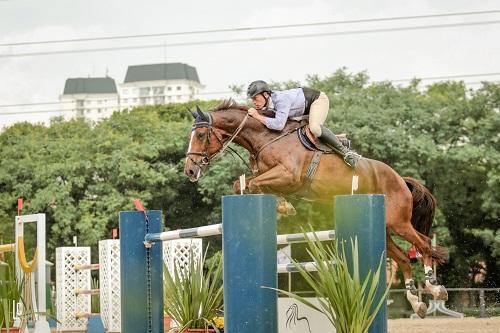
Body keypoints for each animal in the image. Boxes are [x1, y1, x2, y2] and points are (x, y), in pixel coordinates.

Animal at [185, 99, 450, 316]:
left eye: (201, 135)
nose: (190, 170)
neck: (266, 138)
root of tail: (400, 179)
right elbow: (245, 184)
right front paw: (283, 205)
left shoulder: (288, 175)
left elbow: (253, 183)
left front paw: (284, 206)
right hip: (384, 229)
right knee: (404, 258)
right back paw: (417, 303)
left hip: (399, 222)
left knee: (424, 244)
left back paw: (435, 287)